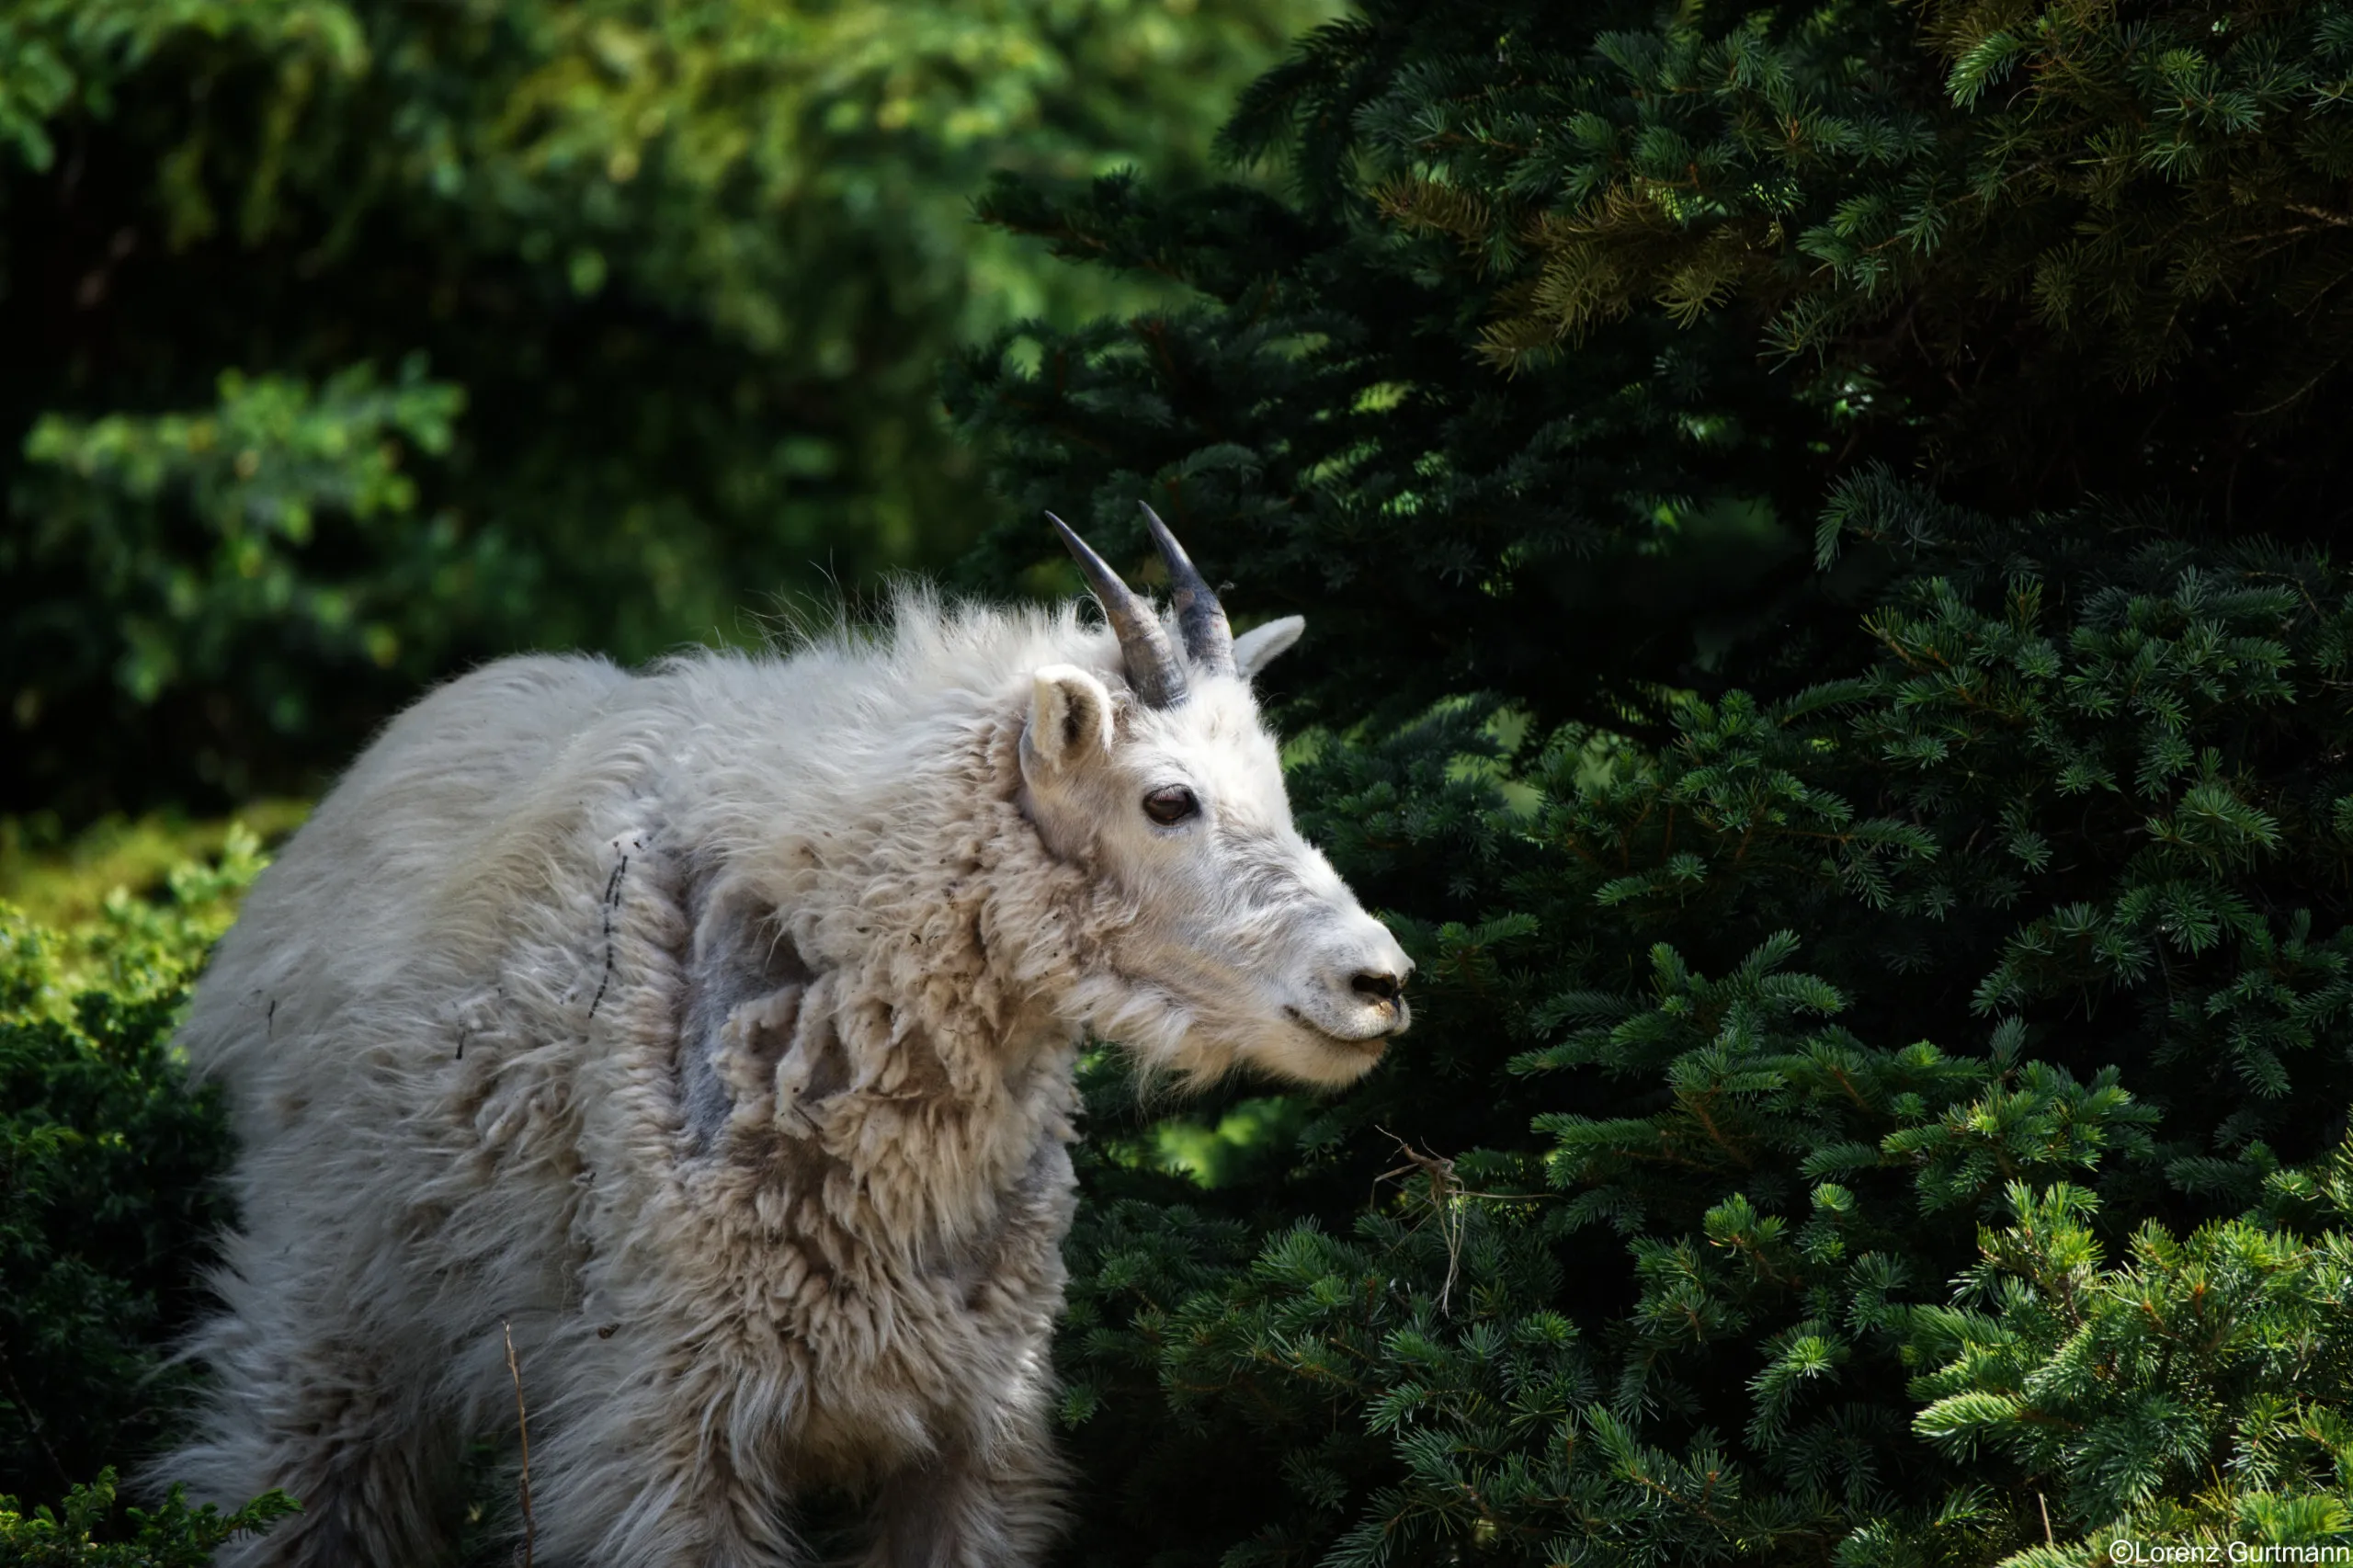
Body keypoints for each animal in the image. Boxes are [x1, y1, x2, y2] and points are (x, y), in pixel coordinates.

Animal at [165, 506, 1412, 1553]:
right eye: (1166, 799)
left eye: (1275, 782)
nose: (1378, 982)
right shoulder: (669, 1422)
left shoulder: (970, 1431)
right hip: (335, 1290)